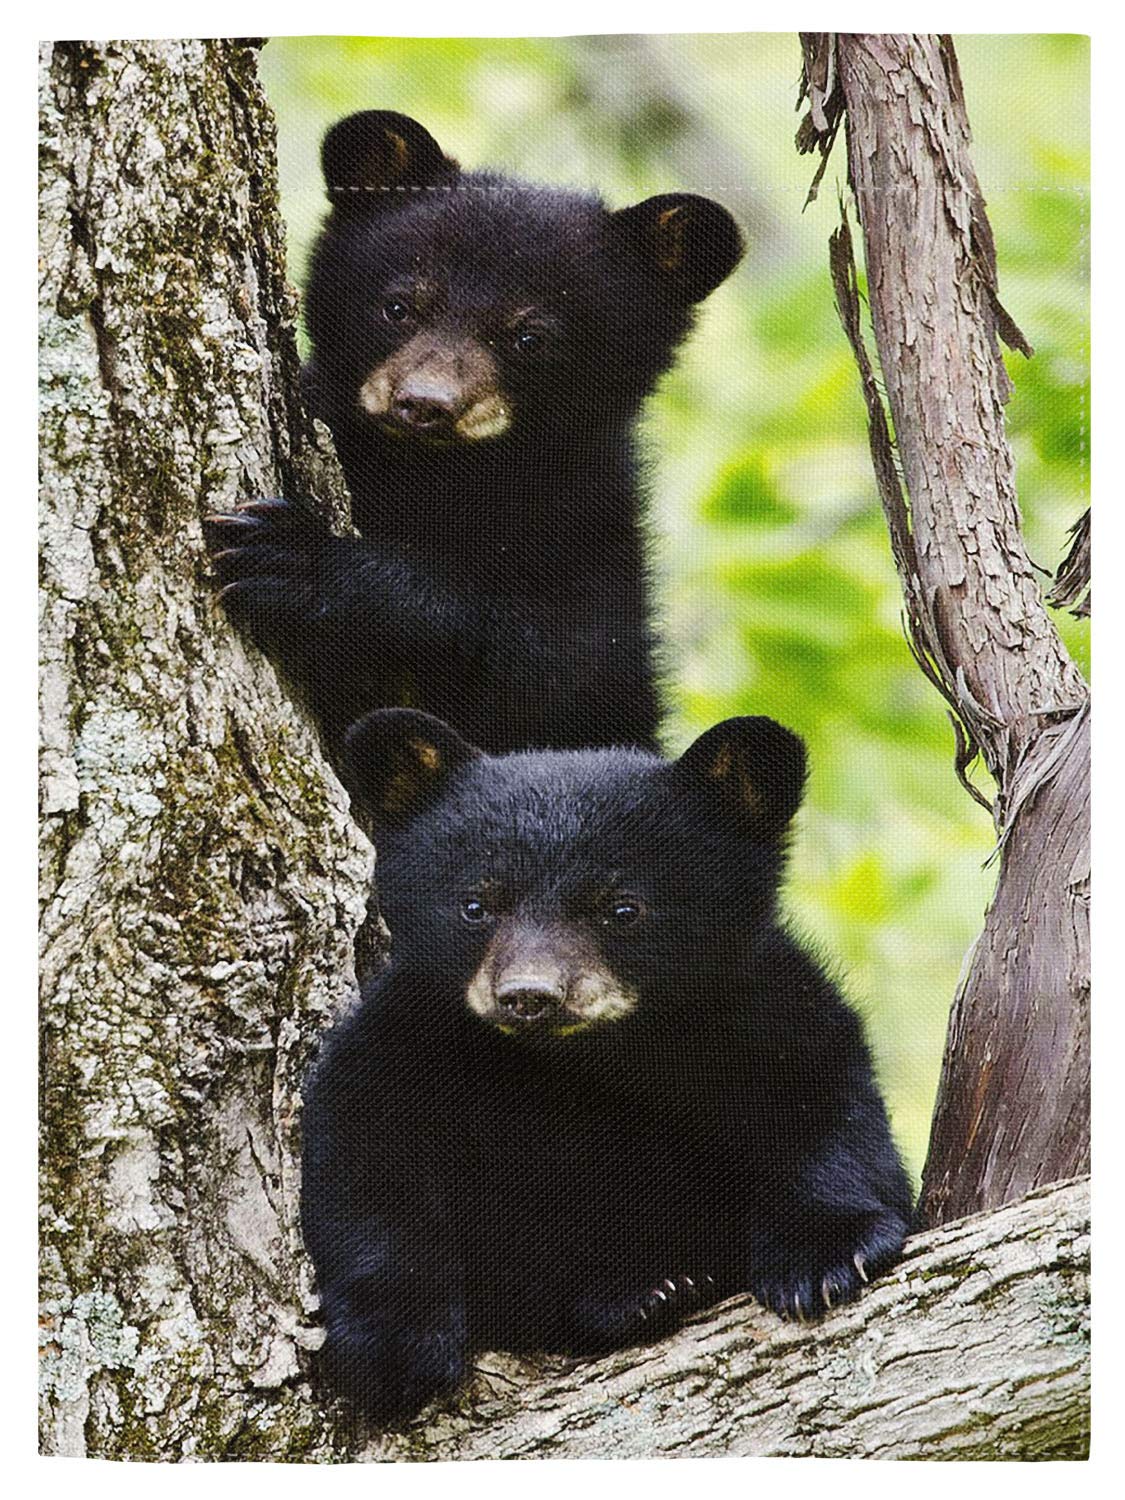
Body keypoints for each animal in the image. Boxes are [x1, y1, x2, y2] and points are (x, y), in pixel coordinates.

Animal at [205, 110, 744, 751]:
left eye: (529, 337)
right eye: (398, 307)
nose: (423, 404)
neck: (436, 473)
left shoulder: (590, 529)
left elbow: (562, 667)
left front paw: (297, 562)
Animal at [300, 707, 913, 1422]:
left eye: (622, 907)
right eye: (476, 904)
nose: (530, 995)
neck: (593, 1057)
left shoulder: (767, 1016)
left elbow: (824, 1113)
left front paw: (828, 1255)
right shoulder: (410, 1039)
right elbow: (368, 1160)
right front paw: (392, 1349)